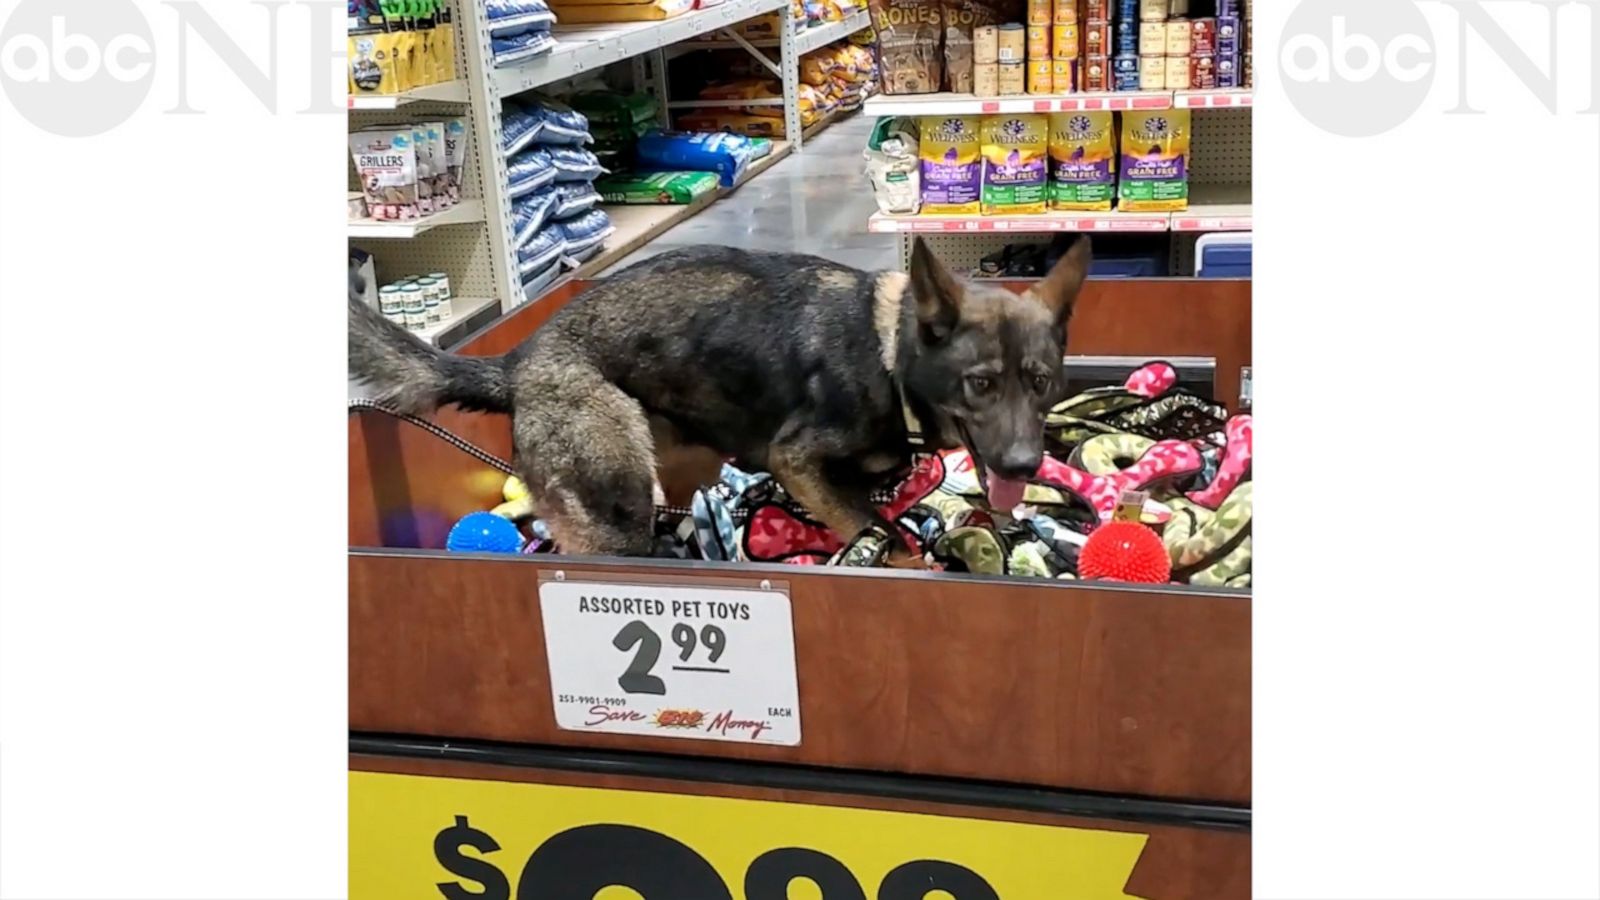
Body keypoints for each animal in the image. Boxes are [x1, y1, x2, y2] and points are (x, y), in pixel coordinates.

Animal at [352, 235, 1094, 554]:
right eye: (981, 384)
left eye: (1040, 382)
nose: (1025, 465)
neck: (889, 354)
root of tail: (517, 360)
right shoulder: (799, 463)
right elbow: (878, 533)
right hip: (617, 502)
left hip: (681, 462)